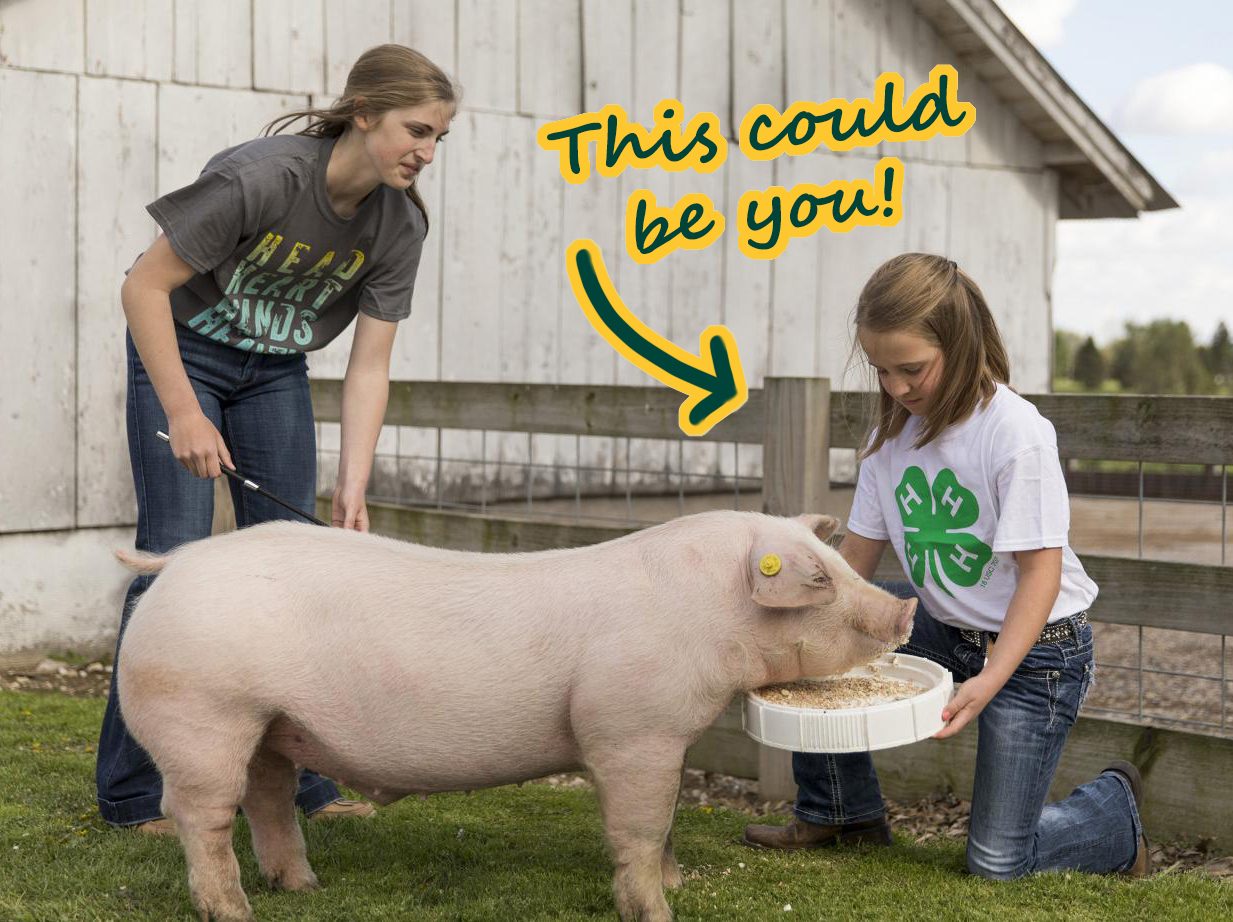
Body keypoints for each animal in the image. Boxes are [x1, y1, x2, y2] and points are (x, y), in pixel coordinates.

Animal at [115, 510, 917, 922]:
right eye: (820, 579)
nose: (904, 607)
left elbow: (663, 822)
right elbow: (638, 826)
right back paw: (234, 911)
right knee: (201, 816)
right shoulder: (630, 729)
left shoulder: (665, 736)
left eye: (833, 559)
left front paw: (679, 882)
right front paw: (658, 910)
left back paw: (303, 889)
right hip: (202, 712)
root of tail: (173, 564)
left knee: (268, 800)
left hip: (269, 725)